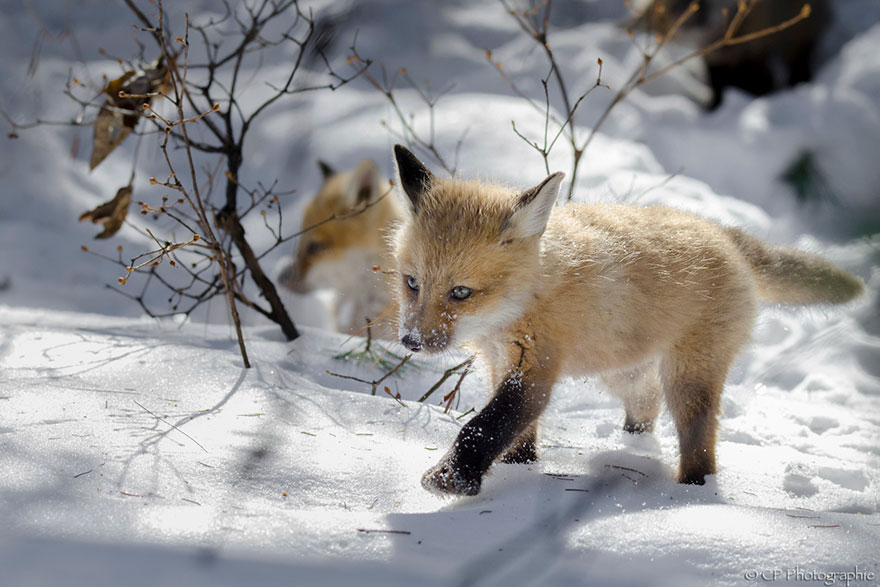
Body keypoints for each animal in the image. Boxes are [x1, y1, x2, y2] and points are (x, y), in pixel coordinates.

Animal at [389, 144, 863, 496]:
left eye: (461, 292)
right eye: (412, 283)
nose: (411, 341)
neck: (527, 297)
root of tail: (721, 232)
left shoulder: (536, 368)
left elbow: (486, 425)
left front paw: (451, 478)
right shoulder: (500, 362)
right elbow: (516, 434)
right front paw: (518, 470)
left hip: (687, 380)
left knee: (702, 449)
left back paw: (693, 494)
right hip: (624, 373)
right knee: (646, 405)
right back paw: (633, 447)